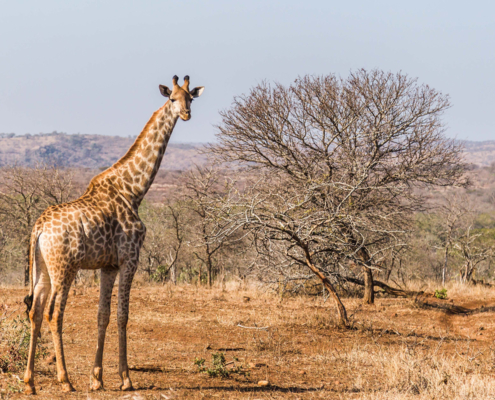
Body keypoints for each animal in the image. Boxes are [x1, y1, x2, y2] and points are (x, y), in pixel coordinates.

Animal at [22, 75, 205, 394]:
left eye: (190, 98)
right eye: (172, 99)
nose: (186, 114)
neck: (135, 191)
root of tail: (39, 227)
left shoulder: (107, 266)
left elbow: (102, 315)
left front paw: (97, 379)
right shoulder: (130, 259)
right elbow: (123, 316)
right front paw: (125, 379)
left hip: (42, 269)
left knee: (35, 311)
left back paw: (30, 382)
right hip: (65, 268)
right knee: (53, 313)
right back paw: (65, 380)